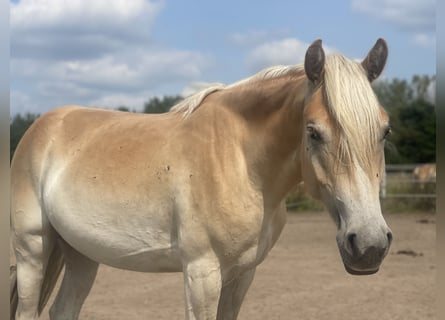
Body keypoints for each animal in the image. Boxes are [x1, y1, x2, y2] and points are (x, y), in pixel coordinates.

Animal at [11, 38, 392, 318]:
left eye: (385, 131)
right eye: (313, 132)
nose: (369, 244)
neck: (240, 161)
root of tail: (42, 127)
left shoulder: (242, 275)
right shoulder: (201, 274)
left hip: (82, 254)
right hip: (32, 251)